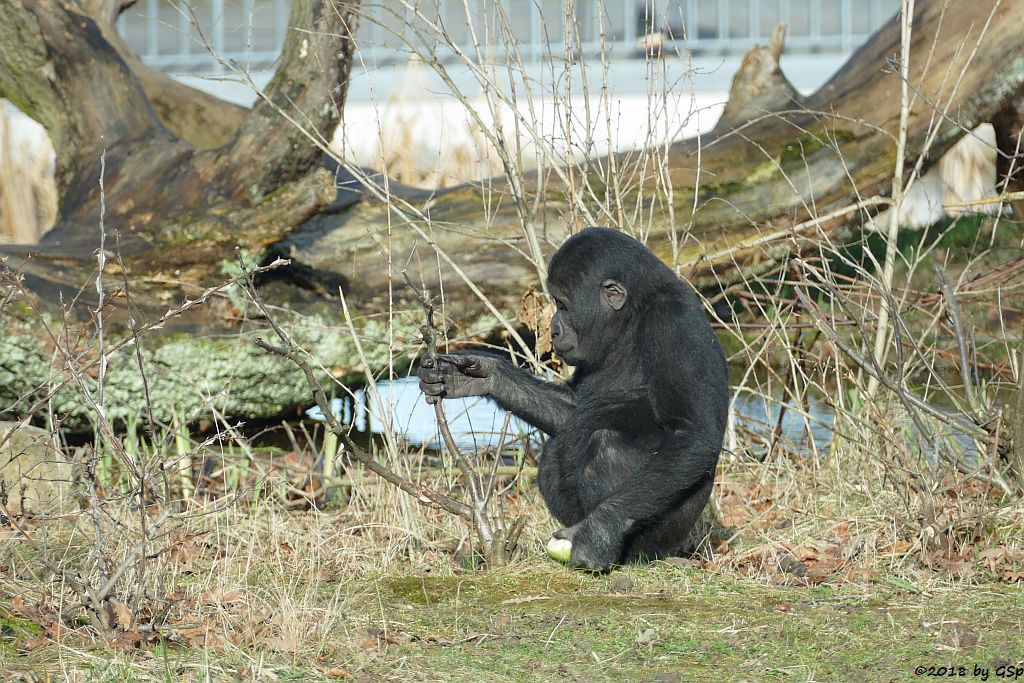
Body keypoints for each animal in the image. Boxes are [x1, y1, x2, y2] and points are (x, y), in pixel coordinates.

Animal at [415, 227, 729, 569]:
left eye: (563, 306)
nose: (553, 328)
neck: (631, 316)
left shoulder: (672, 324)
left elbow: (691, 434)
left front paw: (600, 530)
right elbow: (573, 409)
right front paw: (483, 376)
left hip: (672, 534)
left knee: (608, 449)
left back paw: (624, 554)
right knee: (556, 450)